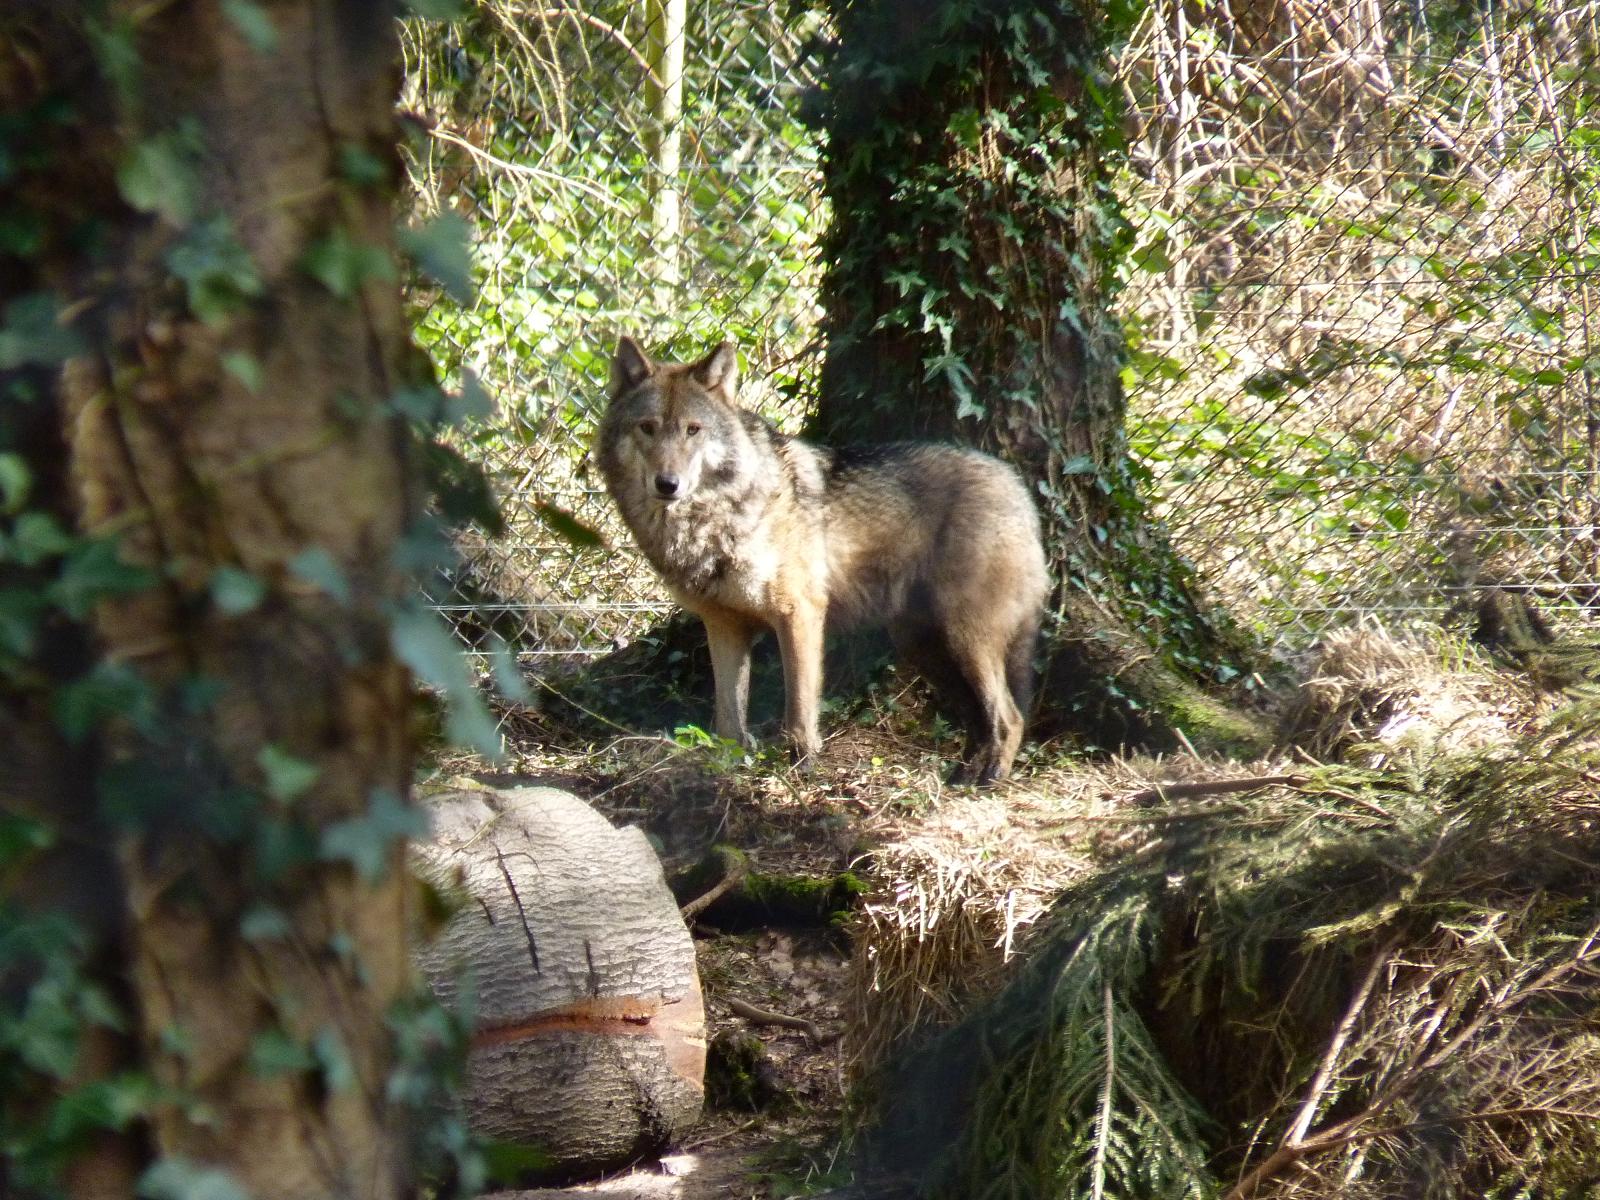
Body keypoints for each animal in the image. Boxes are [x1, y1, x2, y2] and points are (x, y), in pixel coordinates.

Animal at [595, 337, 1050, 785]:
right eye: (647, 427)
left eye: (693, 430)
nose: (667, 484)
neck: (715, 519)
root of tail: (1018, 488)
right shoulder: (723, 624)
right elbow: (728, 716)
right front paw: (727, 768)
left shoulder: (799, 613)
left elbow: (799, 705)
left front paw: (803, 767)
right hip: (925, 645)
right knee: (979, 717)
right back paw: (962, 774)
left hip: (965, 638)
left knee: (1009, 716)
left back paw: (992, 777)